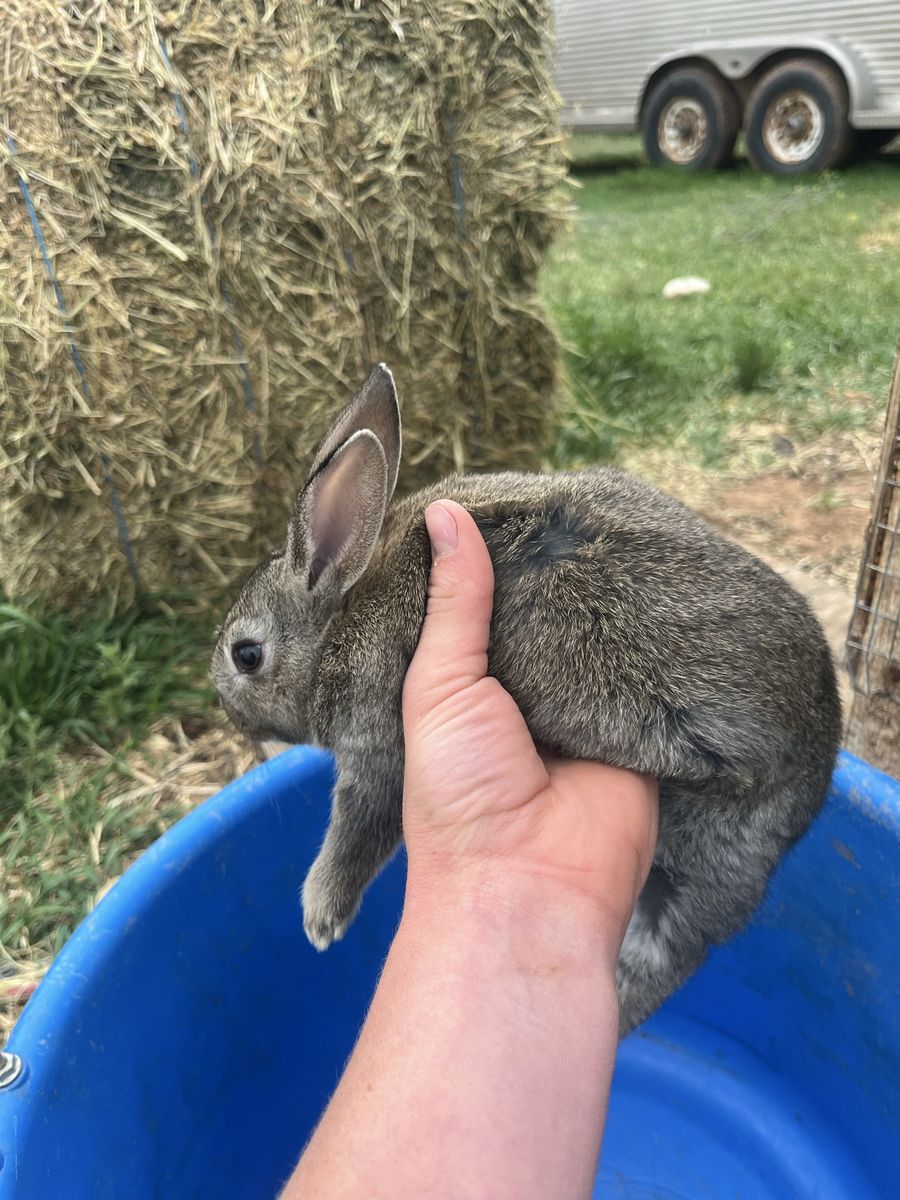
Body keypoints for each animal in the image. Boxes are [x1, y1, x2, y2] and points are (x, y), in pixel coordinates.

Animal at [211, 364, 841, 1035]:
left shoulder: (381, 750)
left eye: (246, 656)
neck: (340, 618)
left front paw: (320, 916)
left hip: (715, 858)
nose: (231, 714)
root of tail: (820, 770)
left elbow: (357, 830)